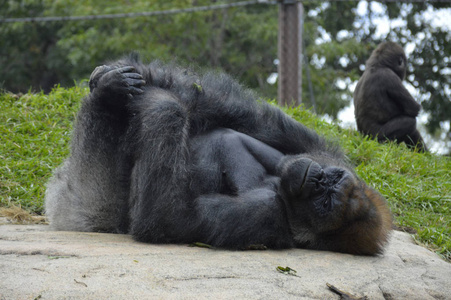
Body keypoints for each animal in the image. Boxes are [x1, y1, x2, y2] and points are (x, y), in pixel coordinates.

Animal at [44, 54, 394, 255]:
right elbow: (243, 116)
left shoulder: (267, 215)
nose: (318, 179)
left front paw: (162, 104)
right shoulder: (320, 149)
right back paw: (112, 88)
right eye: (332, 179)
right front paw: (127, 75)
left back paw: (110, 99)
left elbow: (167, 219)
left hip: (86, 204)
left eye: (326, 203)